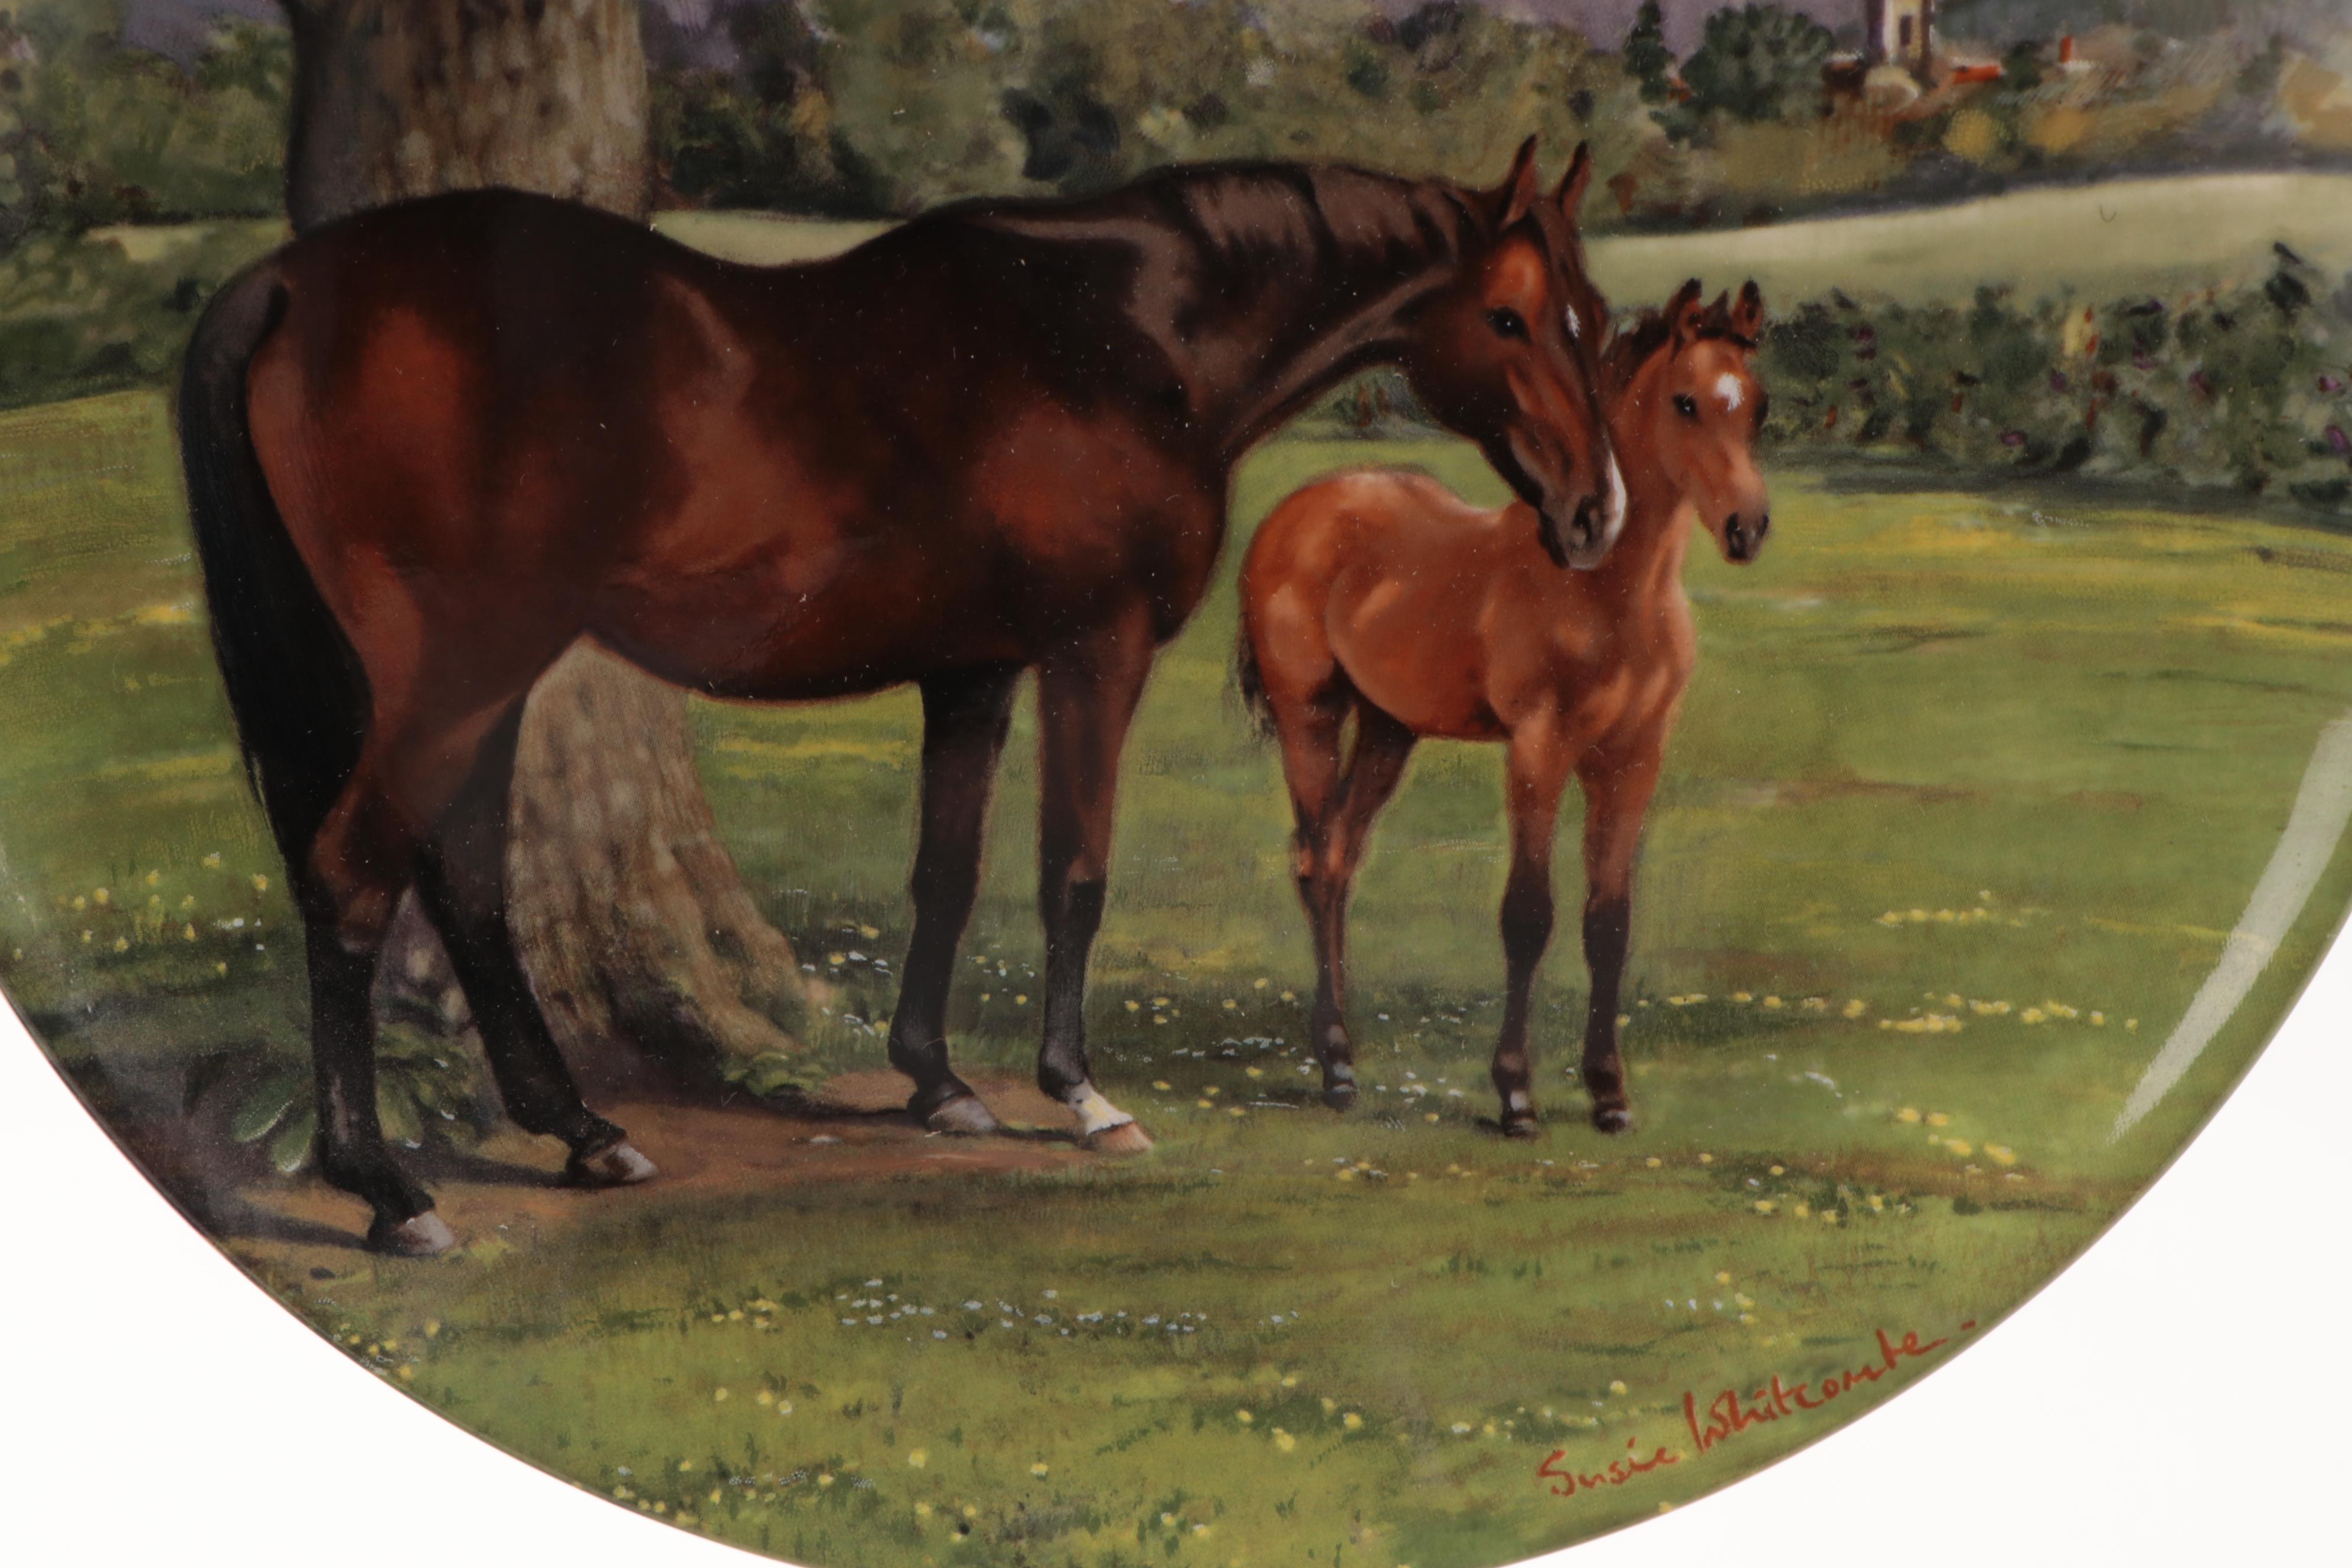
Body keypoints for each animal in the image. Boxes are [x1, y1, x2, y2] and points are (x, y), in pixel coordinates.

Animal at [177, 139, 1627, 1254]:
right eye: (1509, 318)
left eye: (1596, 323)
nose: (1593, 512)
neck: (1117, 329)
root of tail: (292, 280)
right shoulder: (1092, 652)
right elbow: (1071, 869)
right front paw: (1080, 1095)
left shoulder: (970, 671)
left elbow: (949, 868)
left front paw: (937, 1083)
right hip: (457, 671)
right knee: (355, 876)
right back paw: (387, 1188)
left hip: (492, 676)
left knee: (467, 878)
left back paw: (584, 1133)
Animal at [1235, 278, 1769, 1137]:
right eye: (1685, 403)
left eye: (1756, 404)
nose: (1747, 528)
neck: (1606, 589)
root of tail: (1303, 507)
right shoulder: (1539, 747)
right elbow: (1528, 915)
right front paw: (1516, 1095)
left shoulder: (1634, 758)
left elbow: (1608, 922)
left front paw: (1609, 1093)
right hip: (1308, 717)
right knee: (1315, 862)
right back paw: (1338, 1068)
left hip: (1388, 730)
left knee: (1342, 856)